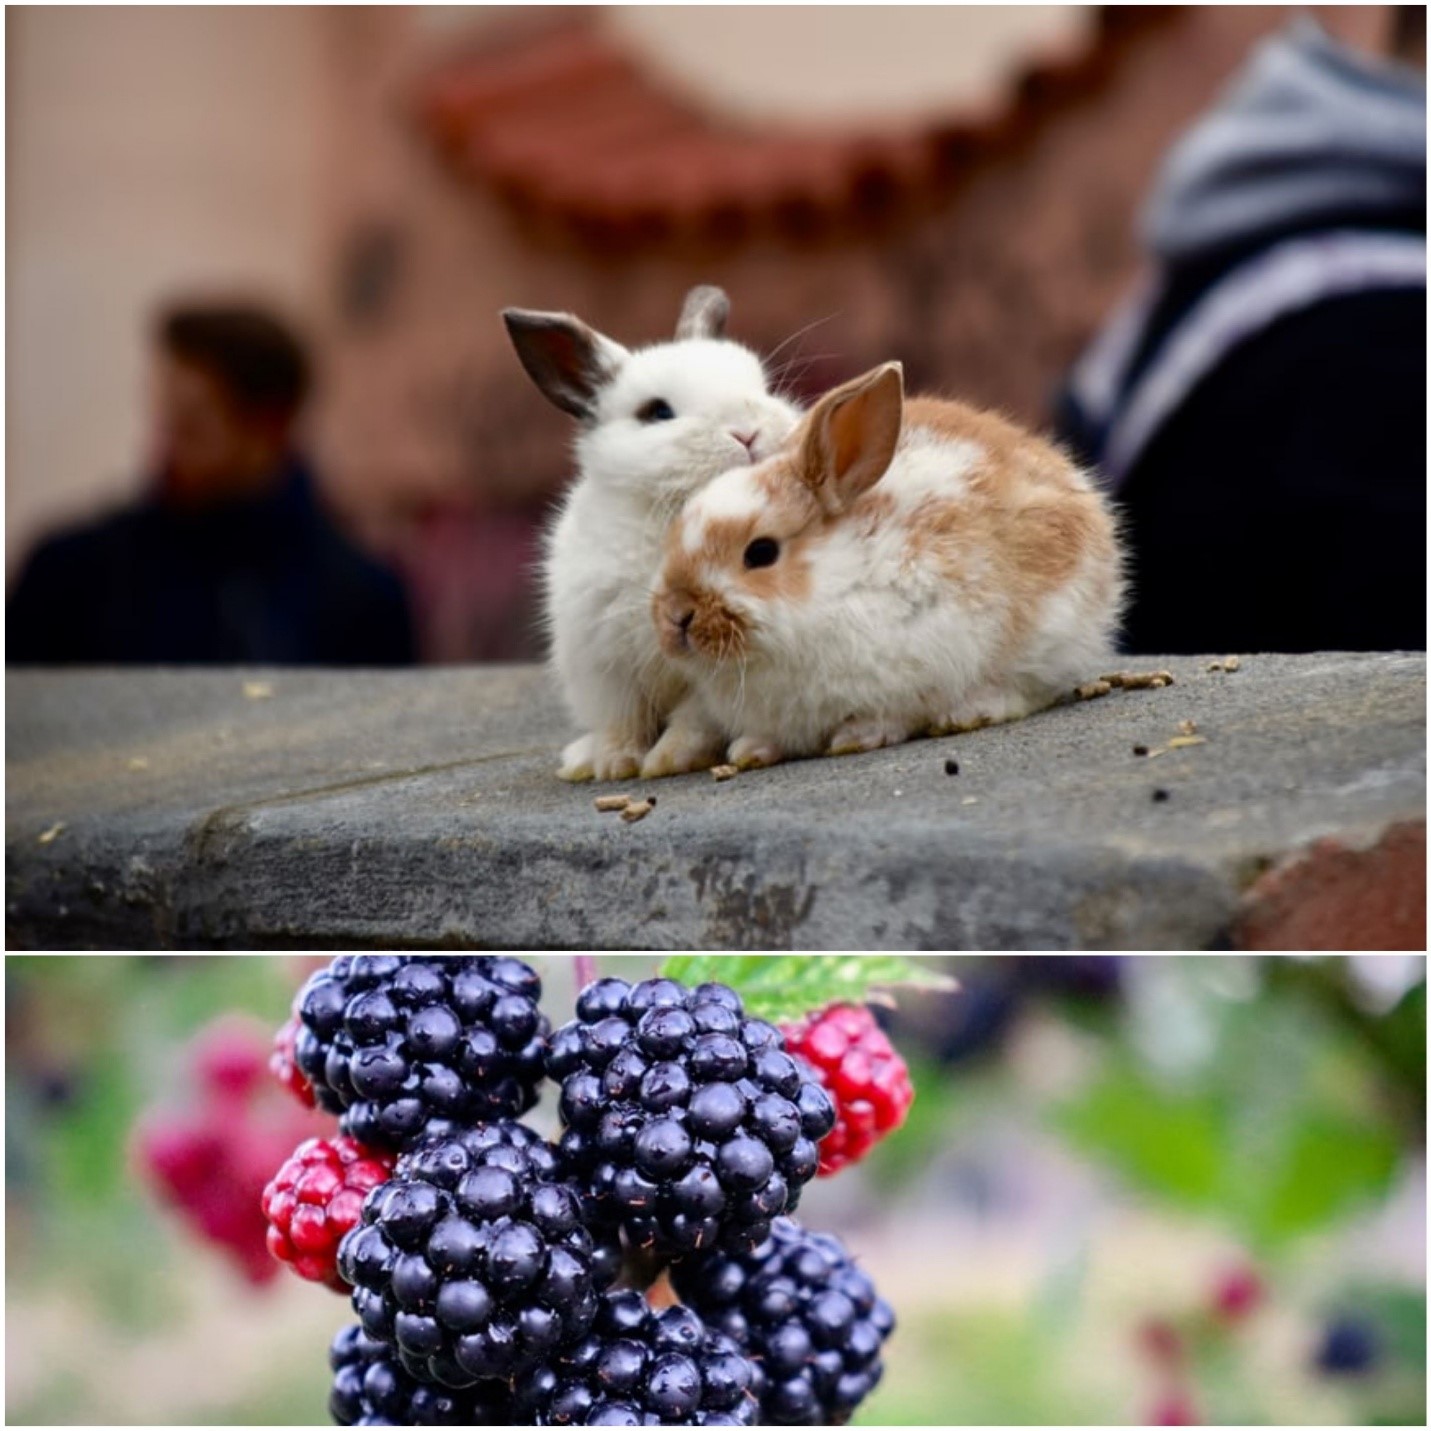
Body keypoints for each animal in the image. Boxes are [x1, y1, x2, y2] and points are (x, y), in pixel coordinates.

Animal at [503, 286, 802, 781]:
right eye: (657, 412)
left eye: (763, 388)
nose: (748, 433)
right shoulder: (606, 667)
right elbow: (622, 722)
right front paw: (614, 765)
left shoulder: (705, 674)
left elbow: (693, 720)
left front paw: (669, 761)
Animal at [648, 360, 1125, 773]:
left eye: (761, 553)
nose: (676, 616)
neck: (834, 584)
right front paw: (750, 750)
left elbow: (892, 713)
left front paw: (856, 737)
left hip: (1051, 631)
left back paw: (970, 712)